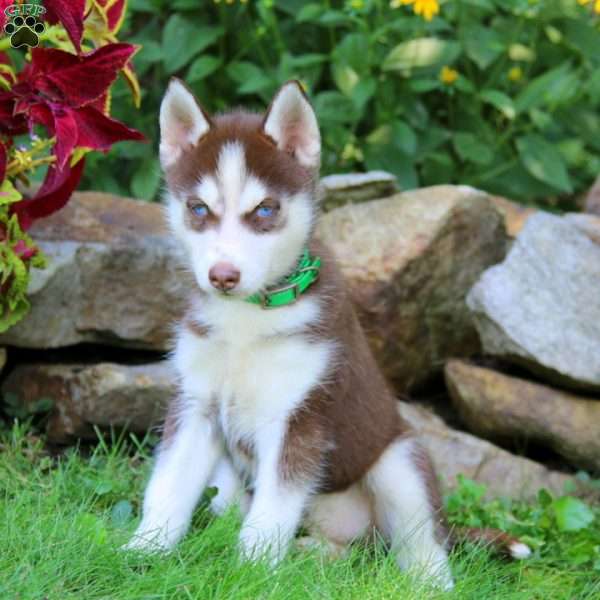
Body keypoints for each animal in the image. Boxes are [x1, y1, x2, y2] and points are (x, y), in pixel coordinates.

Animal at [125, 77, 528, 588]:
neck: (248, 318)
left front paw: (251, 574)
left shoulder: (300, 417)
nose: (223, 276)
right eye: (198, 208)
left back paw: (424, 581)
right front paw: (143, 552)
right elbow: (169, 486)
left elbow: (272, 512)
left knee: (422, 543)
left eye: (265, 210)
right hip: (236, 483)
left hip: (399, 461)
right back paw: (313, 554)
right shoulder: (196, 403)